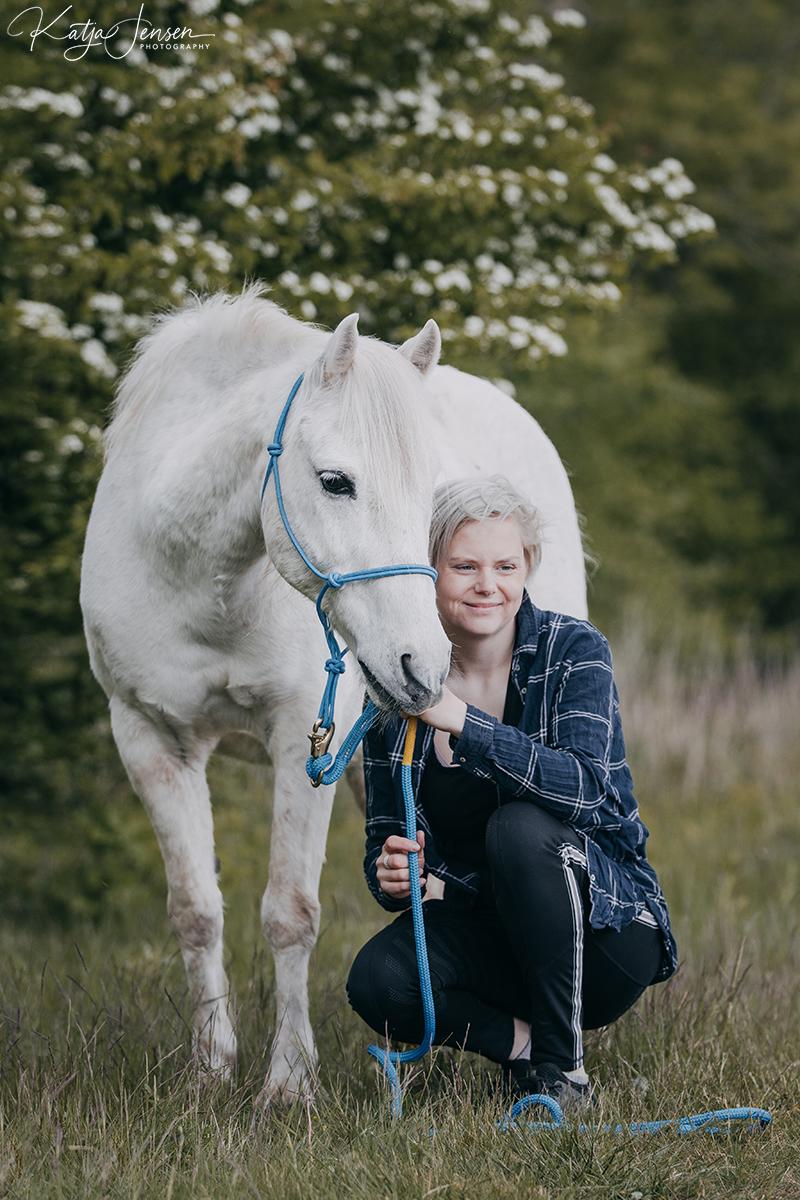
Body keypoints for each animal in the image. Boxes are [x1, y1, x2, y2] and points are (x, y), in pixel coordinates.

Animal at [77, 283, 585, 1104]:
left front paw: (288, 1087)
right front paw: (210, 1074)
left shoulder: (299, 741)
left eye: (432, 493)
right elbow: (195, 911)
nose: (423, 665)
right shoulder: (148, 734)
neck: (197, 575)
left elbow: (290, 913)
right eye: (335, 482)